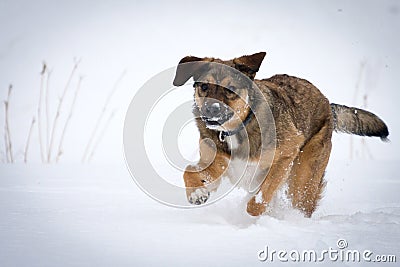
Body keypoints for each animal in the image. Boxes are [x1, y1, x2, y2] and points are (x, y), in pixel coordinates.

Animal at [171, 51, 388, 218]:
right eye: (204, 86)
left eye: (231, 89)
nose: (211, 110)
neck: (236, 129)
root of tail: (326, 102)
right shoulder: (219, 164)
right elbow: (188, 171)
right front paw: (196, 193)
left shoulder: (285, 156)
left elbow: (259, 199)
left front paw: (250, 213)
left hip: (303, 179)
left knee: (300, 202)